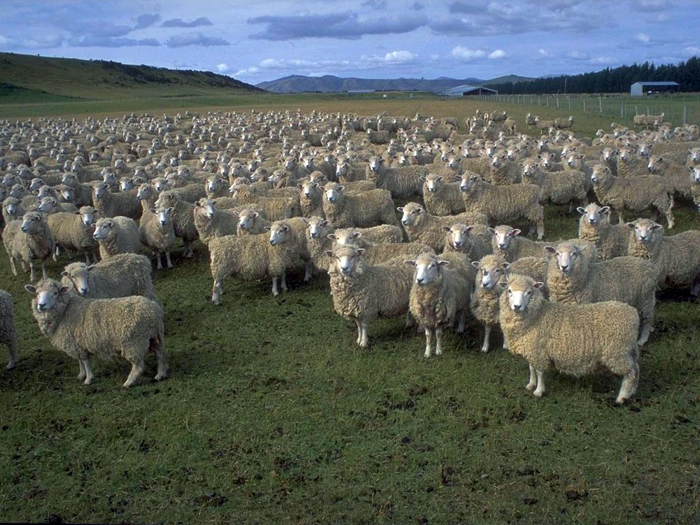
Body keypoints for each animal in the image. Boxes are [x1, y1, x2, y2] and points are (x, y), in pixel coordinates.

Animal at [25, 279, 167, 388]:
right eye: (37, 293)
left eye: (55, 293)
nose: (41, 305)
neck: (66, 311)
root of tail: (153, 310)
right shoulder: (75, 344)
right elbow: (80, 361)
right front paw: (81, 375)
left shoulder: (78, 345)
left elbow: (86, 362)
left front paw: (88, 379)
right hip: (153, 337)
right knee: (160, 354)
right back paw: (160, 374)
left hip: (134, 342)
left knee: (138, 365)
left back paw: (129, 382)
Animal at [499, 274, 639, 404]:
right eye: (509, 291)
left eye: (529, 292)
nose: (517, 306)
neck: (537, 315)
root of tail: (633, 313)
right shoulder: (531, 348)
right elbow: (531, 368)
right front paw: (531, 384)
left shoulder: (538, 350)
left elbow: (539, 371)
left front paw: (539, 391)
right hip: (626, 350)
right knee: (636, 368)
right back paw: (631, 392)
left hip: (617, 352)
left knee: (630, 373)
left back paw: (622, 397)